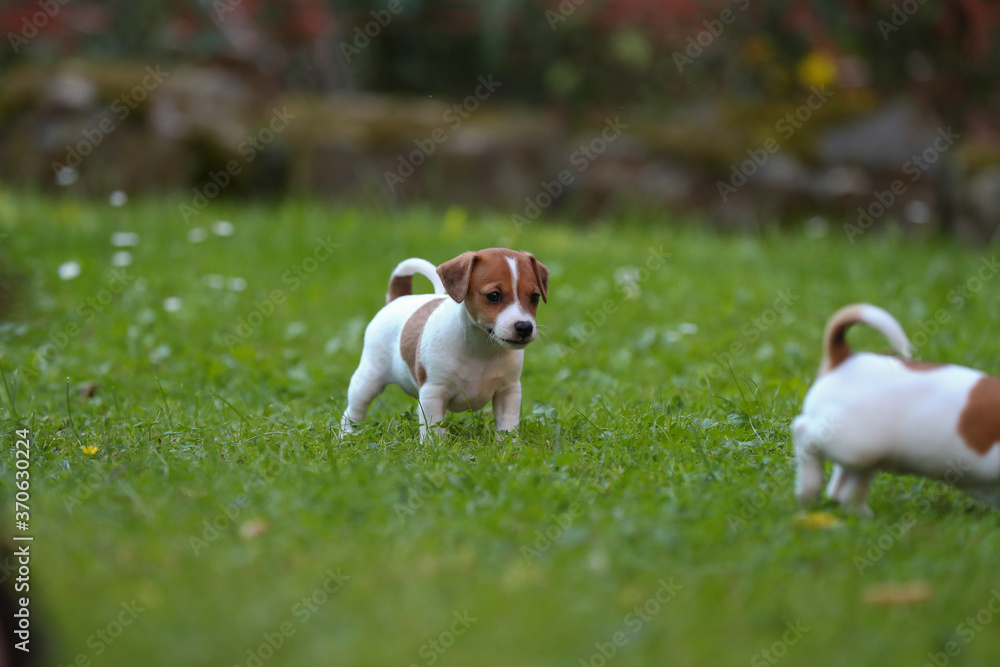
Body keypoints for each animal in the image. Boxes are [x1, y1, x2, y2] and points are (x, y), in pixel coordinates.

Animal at [342, 248, 548, 440]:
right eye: (494, 295)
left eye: (535, 297)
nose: (524, 327)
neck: (481, 348)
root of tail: (399, 298)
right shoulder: (433, 392)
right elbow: (434, 429)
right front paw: (435, 448)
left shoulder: (508, 391)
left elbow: (507, 424)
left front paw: (507, 445)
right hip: (368, 379)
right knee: (353, 410)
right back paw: (347, 434)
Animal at [792, 302, 996, 516]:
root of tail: (846, 360)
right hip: (855, 445)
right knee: (804, 434)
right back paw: (809, 491)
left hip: (863, 455)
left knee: (845, 488)